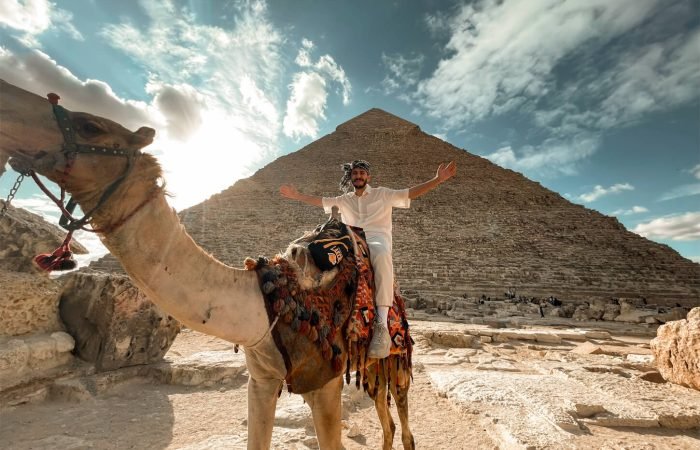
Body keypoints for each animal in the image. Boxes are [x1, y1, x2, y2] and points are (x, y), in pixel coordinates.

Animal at [0, 79, 414, 450]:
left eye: (91, 126)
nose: (9, 102)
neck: (269, 301)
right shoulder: (261, 380)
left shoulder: (324, 384)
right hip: (371, 370)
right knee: (388, 423)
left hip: (396, 361)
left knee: (403, 424)